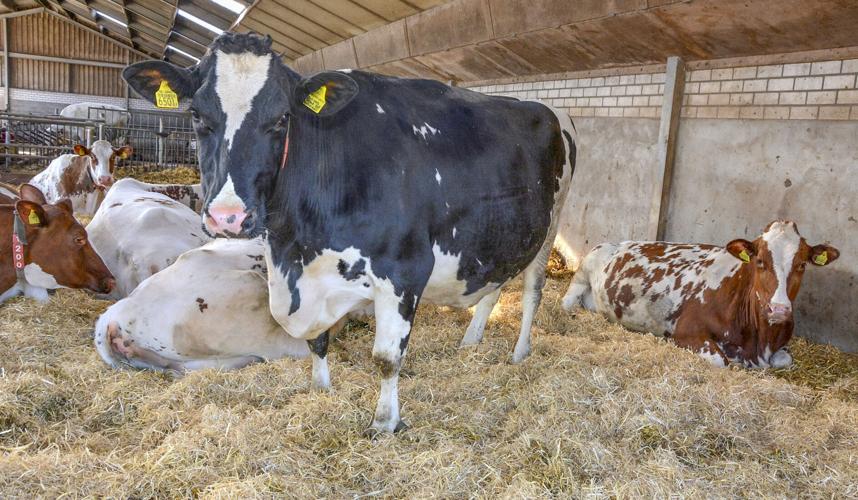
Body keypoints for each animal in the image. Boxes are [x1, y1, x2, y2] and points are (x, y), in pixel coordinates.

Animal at [123, 32, 577, 435]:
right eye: (197, 116)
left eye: (281, 119)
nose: (228, 217)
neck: (296, 246)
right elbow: (317, 342)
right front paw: (320, 390)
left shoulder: (405, 270)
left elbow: (387, 358)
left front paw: (384, 422)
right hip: (499, 237)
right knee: (493, 287)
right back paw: (471, 341)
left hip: (550, 225)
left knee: (532, 292)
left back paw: (519, 353)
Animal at [562, 221, 839, 369]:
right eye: (759, 261)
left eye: (802, 264)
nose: (779, 310)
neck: (759, 341)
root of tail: (618, 242)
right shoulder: (687, 331)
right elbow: (721, 361)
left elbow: (785, 359)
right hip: (583, 272)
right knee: (567, 302)